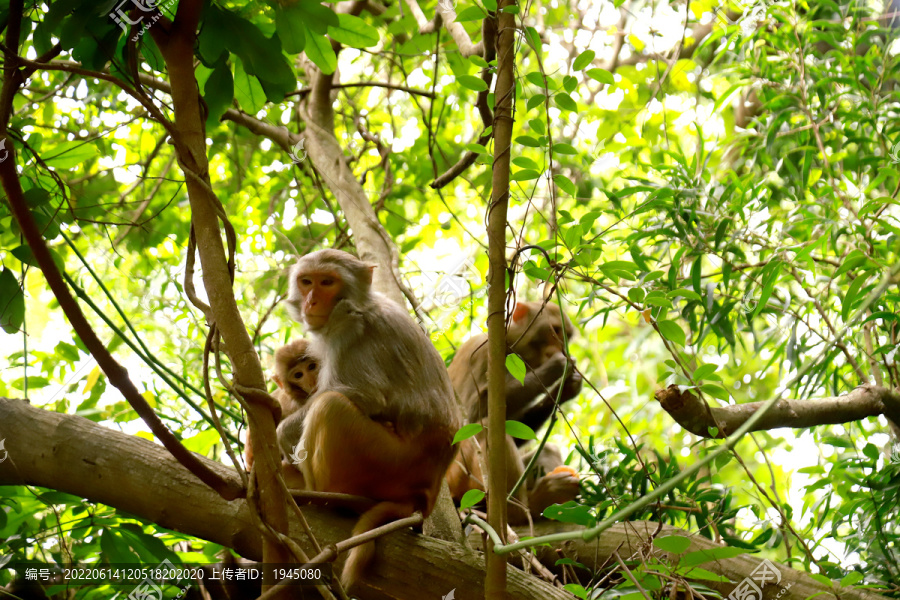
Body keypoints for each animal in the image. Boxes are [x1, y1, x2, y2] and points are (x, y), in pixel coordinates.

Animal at [276, 247, 460, 584]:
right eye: (307, 282)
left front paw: (281, 434)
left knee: (330, 407)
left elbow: (361, 395)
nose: (311, 302)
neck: (361, 304)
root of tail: (427, 491)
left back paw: (324, 495)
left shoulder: (349, 331)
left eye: (327, 282)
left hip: (384, 462)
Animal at [444, 302, 584, 524]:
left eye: (566, 336)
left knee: (545, 449)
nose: (562, 349)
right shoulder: (482, 355)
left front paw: (566, 389)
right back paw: (522, 509)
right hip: (460, 480)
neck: (509, 348)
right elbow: (471, 417)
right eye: (555, 331)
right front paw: (557, 367)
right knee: (486, 428)